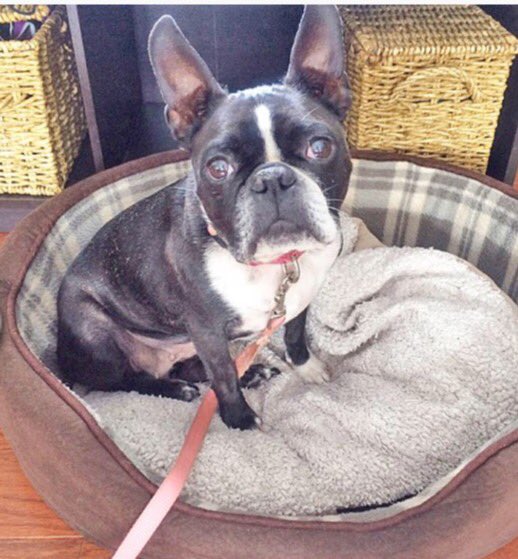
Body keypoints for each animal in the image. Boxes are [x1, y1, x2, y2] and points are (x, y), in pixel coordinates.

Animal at [56, 5, 352, 430]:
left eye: (320, 147)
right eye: (217, 168)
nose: (271, 179)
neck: (273, 264)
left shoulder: (300, 299)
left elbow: (295, 335)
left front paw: (305, 366)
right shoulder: (207, 331)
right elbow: (223, 376)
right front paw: (239, 420)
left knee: (190, 368)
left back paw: (251, 372)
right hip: (92, 329)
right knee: (125, 380)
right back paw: (175, 389)